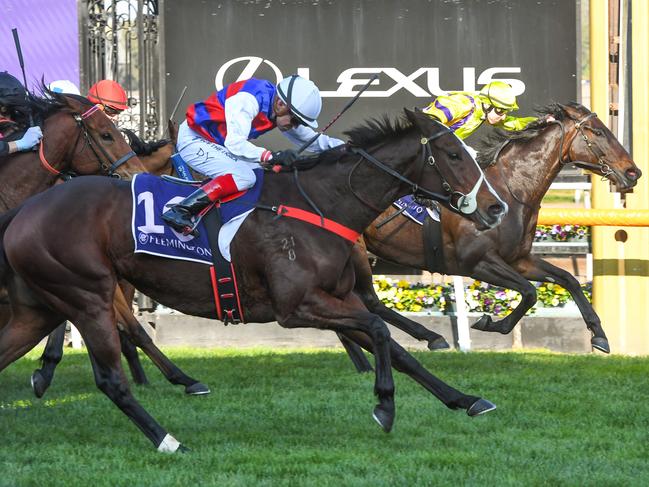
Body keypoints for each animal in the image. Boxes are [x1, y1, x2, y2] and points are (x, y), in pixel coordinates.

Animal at [0, 108, 506, 452]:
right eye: (454, 154)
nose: (497, 207)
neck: (320, 203)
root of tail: (24, 211)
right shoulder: (296, 307)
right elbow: (381, 330)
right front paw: (384, 406)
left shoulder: (336, 299)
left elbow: (398, 349)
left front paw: (464, 399)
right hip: (87, 295)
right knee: (110, 379)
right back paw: (168, 439)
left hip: (40, 307)